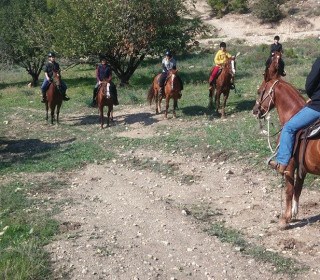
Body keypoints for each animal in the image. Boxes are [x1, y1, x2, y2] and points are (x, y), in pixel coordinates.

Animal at [252, 78, 320, 230]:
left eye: (259, 91)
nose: (255, 110)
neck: (293, 113)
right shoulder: (302, 168)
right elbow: (298, 189)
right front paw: (294, 213)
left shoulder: (289, 166)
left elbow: (289, 190)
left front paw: (285, 219)